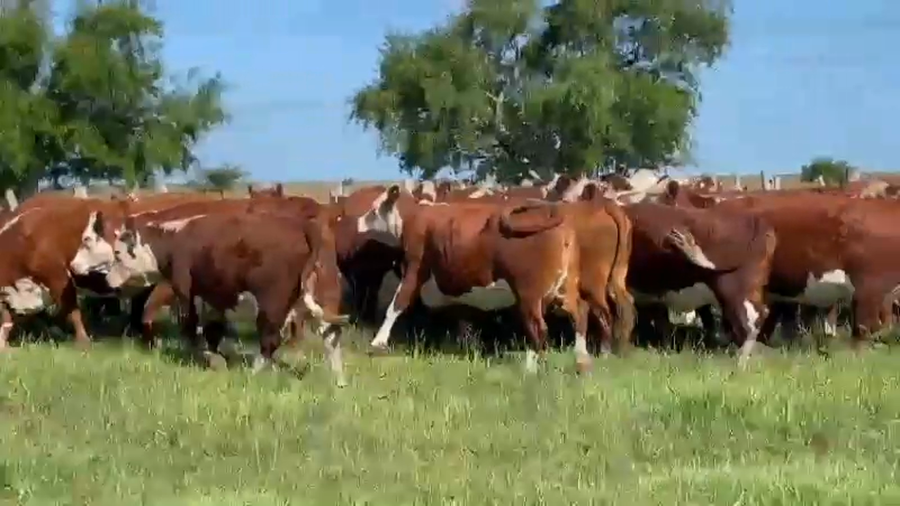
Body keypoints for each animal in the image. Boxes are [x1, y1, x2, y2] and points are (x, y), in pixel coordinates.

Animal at [100, 211, 352, 385]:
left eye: (117, 253)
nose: (107, 280)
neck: (175, 239)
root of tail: (304, 224)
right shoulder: (214, 298)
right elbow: (213, 329)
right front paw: (216, 358)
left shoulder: (186, 292)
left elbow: (191, 328)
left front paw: (208, 359)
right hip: (323, 297)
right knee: (331, 335)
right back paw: (339, 381)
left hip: (271, 304)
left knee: (270, 340)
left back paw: (253, 372)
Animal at [355, 184, 635, 373]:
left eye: (374, 210)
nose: (358, 222)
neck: (416, 217)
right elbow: (463, 317)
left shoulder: (416, 267)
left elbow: (398, 303)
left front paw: (378, 341)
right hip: (564, 288)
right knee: (582, 314)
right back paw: (582, 357)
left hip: (534, 293)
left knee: (545, 326)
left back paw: (533, 367)